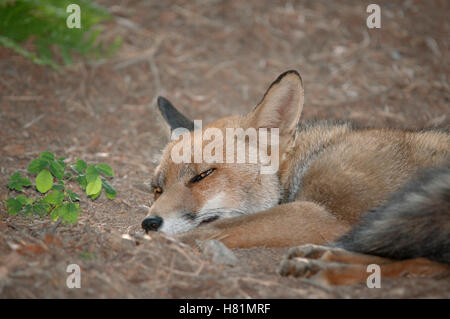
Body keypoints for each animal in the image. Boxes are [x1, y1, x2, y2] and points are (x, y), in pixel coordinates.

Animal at [142, 70, 450, 284]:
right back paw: (318, 260)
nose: (149, 223)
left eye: (203, 175)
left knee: (420, 262)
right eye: (157, 188)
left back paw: (325, 268)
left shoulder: (328, 215)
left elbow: (214, 229)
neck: (306, 160)